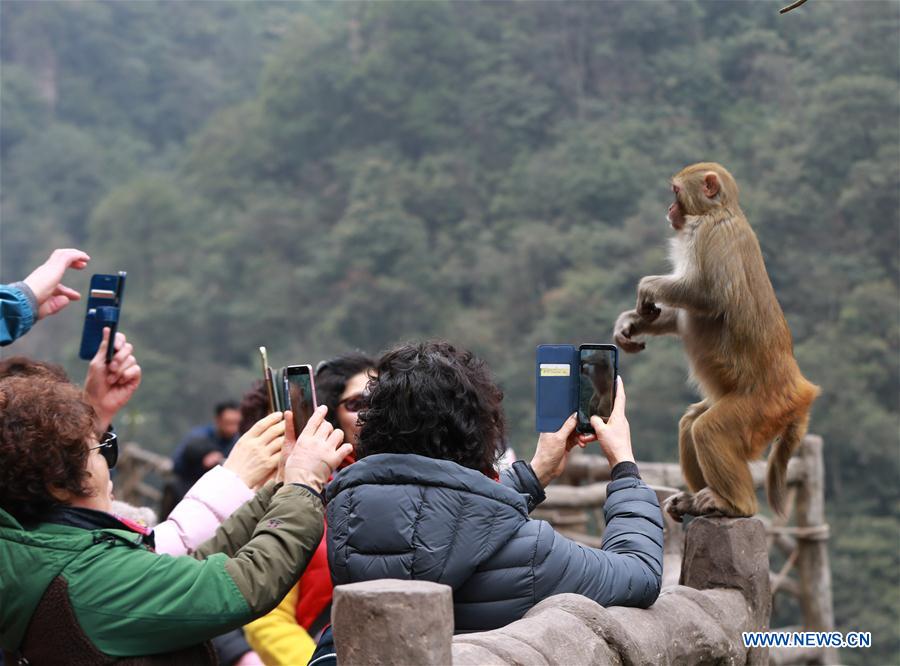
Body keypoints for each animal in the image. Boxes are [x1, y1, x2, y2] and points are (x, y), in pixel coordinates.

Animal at [616, 162, 820, 520]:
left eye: (676, 192)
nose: (669, 209)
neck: (719, 211)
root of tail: (799, 390)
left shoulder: (712, 235)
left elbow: (709, 296)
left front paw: (647, 287)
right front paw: (631, 323)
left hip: (762, 408)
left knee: (709, 430)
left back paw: (735, 504)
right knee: (690, 423)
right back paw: (695, 499)